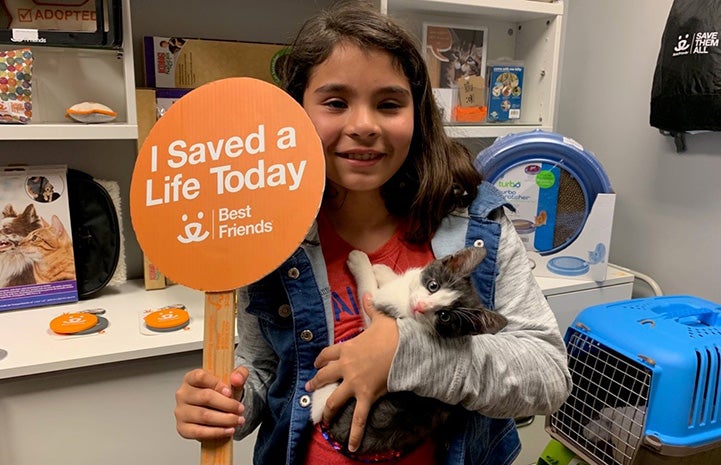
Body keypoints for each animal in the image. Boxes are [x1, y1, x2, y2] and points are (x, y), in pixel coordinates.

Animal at [310, 245, 506, 454]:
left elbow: (369, 297)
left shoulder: (381, 319)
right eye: (433, 286)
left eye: (444, 316)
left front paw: (360, 262)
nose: (420, 306)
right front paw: (384, 272)